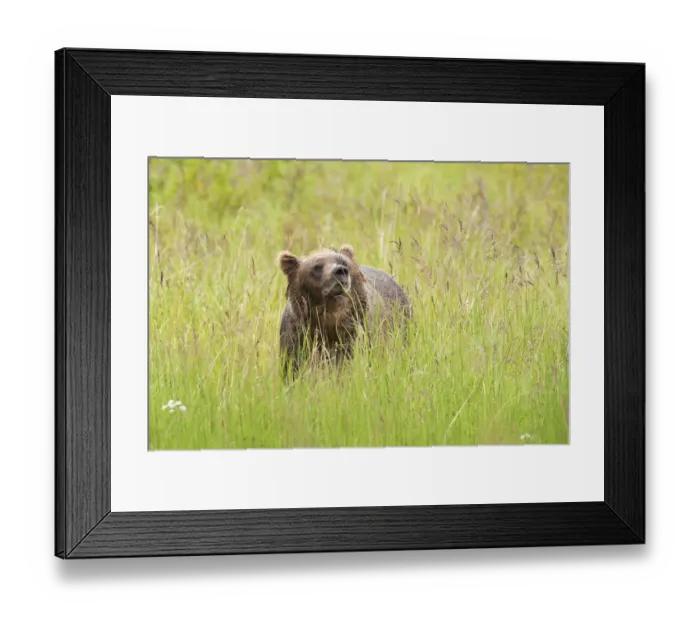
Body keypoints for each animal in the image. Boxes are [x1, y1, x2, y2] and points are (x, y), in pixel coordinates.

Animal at [277, 244, 411, 380]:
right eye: (317, 266)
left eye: (343, 262)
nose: (340, 271)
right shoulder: (298, 335)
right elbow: (294, 367)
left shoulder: (355, 331)